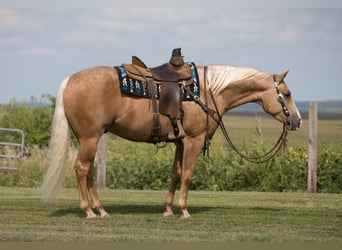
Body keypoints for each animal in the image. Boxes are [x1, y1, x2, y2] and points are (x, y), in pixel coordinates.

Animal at [40, 61, 302, 219]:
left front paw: (168, 209)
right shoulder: (194, 140)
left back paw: (101, 210)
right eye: (287, 94)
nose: (297, 121)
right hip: (89, 137)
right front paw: (184, 210)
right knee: (81, 168)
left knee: (89, 172)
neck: (208, 91)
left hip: (89, 139)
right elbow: (187, 174)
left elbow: (175, 173)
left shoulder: (180, 141)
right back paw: (89, 211)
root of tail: (70, 80)